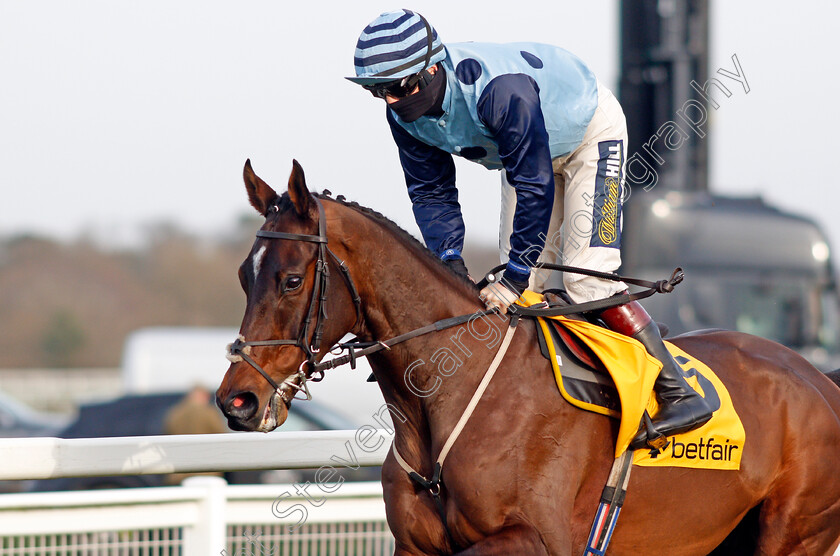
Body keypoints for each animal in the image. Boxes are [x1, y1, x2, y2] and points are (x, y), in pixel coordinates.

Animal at [215, 161, 840, 556]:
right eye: (243, 276)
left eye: (292, 280)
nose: (237, 400)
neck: (454, 390)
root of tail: (820, 378)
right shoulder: (414, 544)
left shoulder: (537, 539)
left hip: (795, 531)